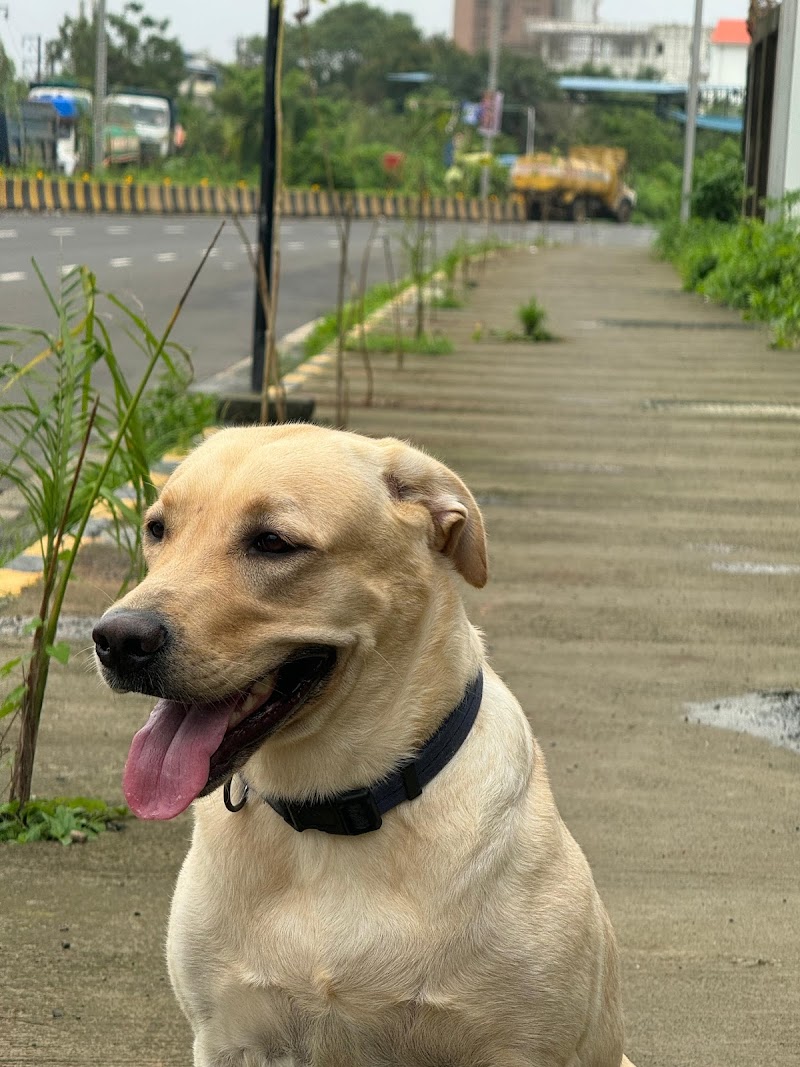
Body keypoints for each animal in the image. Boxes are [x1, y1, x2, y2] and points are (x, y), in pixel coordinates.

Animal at [94, 424, 635, 1067]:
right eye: (157, 530)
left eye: (273, 543)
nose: (117, 639)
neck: (332, 813)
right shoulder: (229, 1038)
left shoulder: (523, 1049)